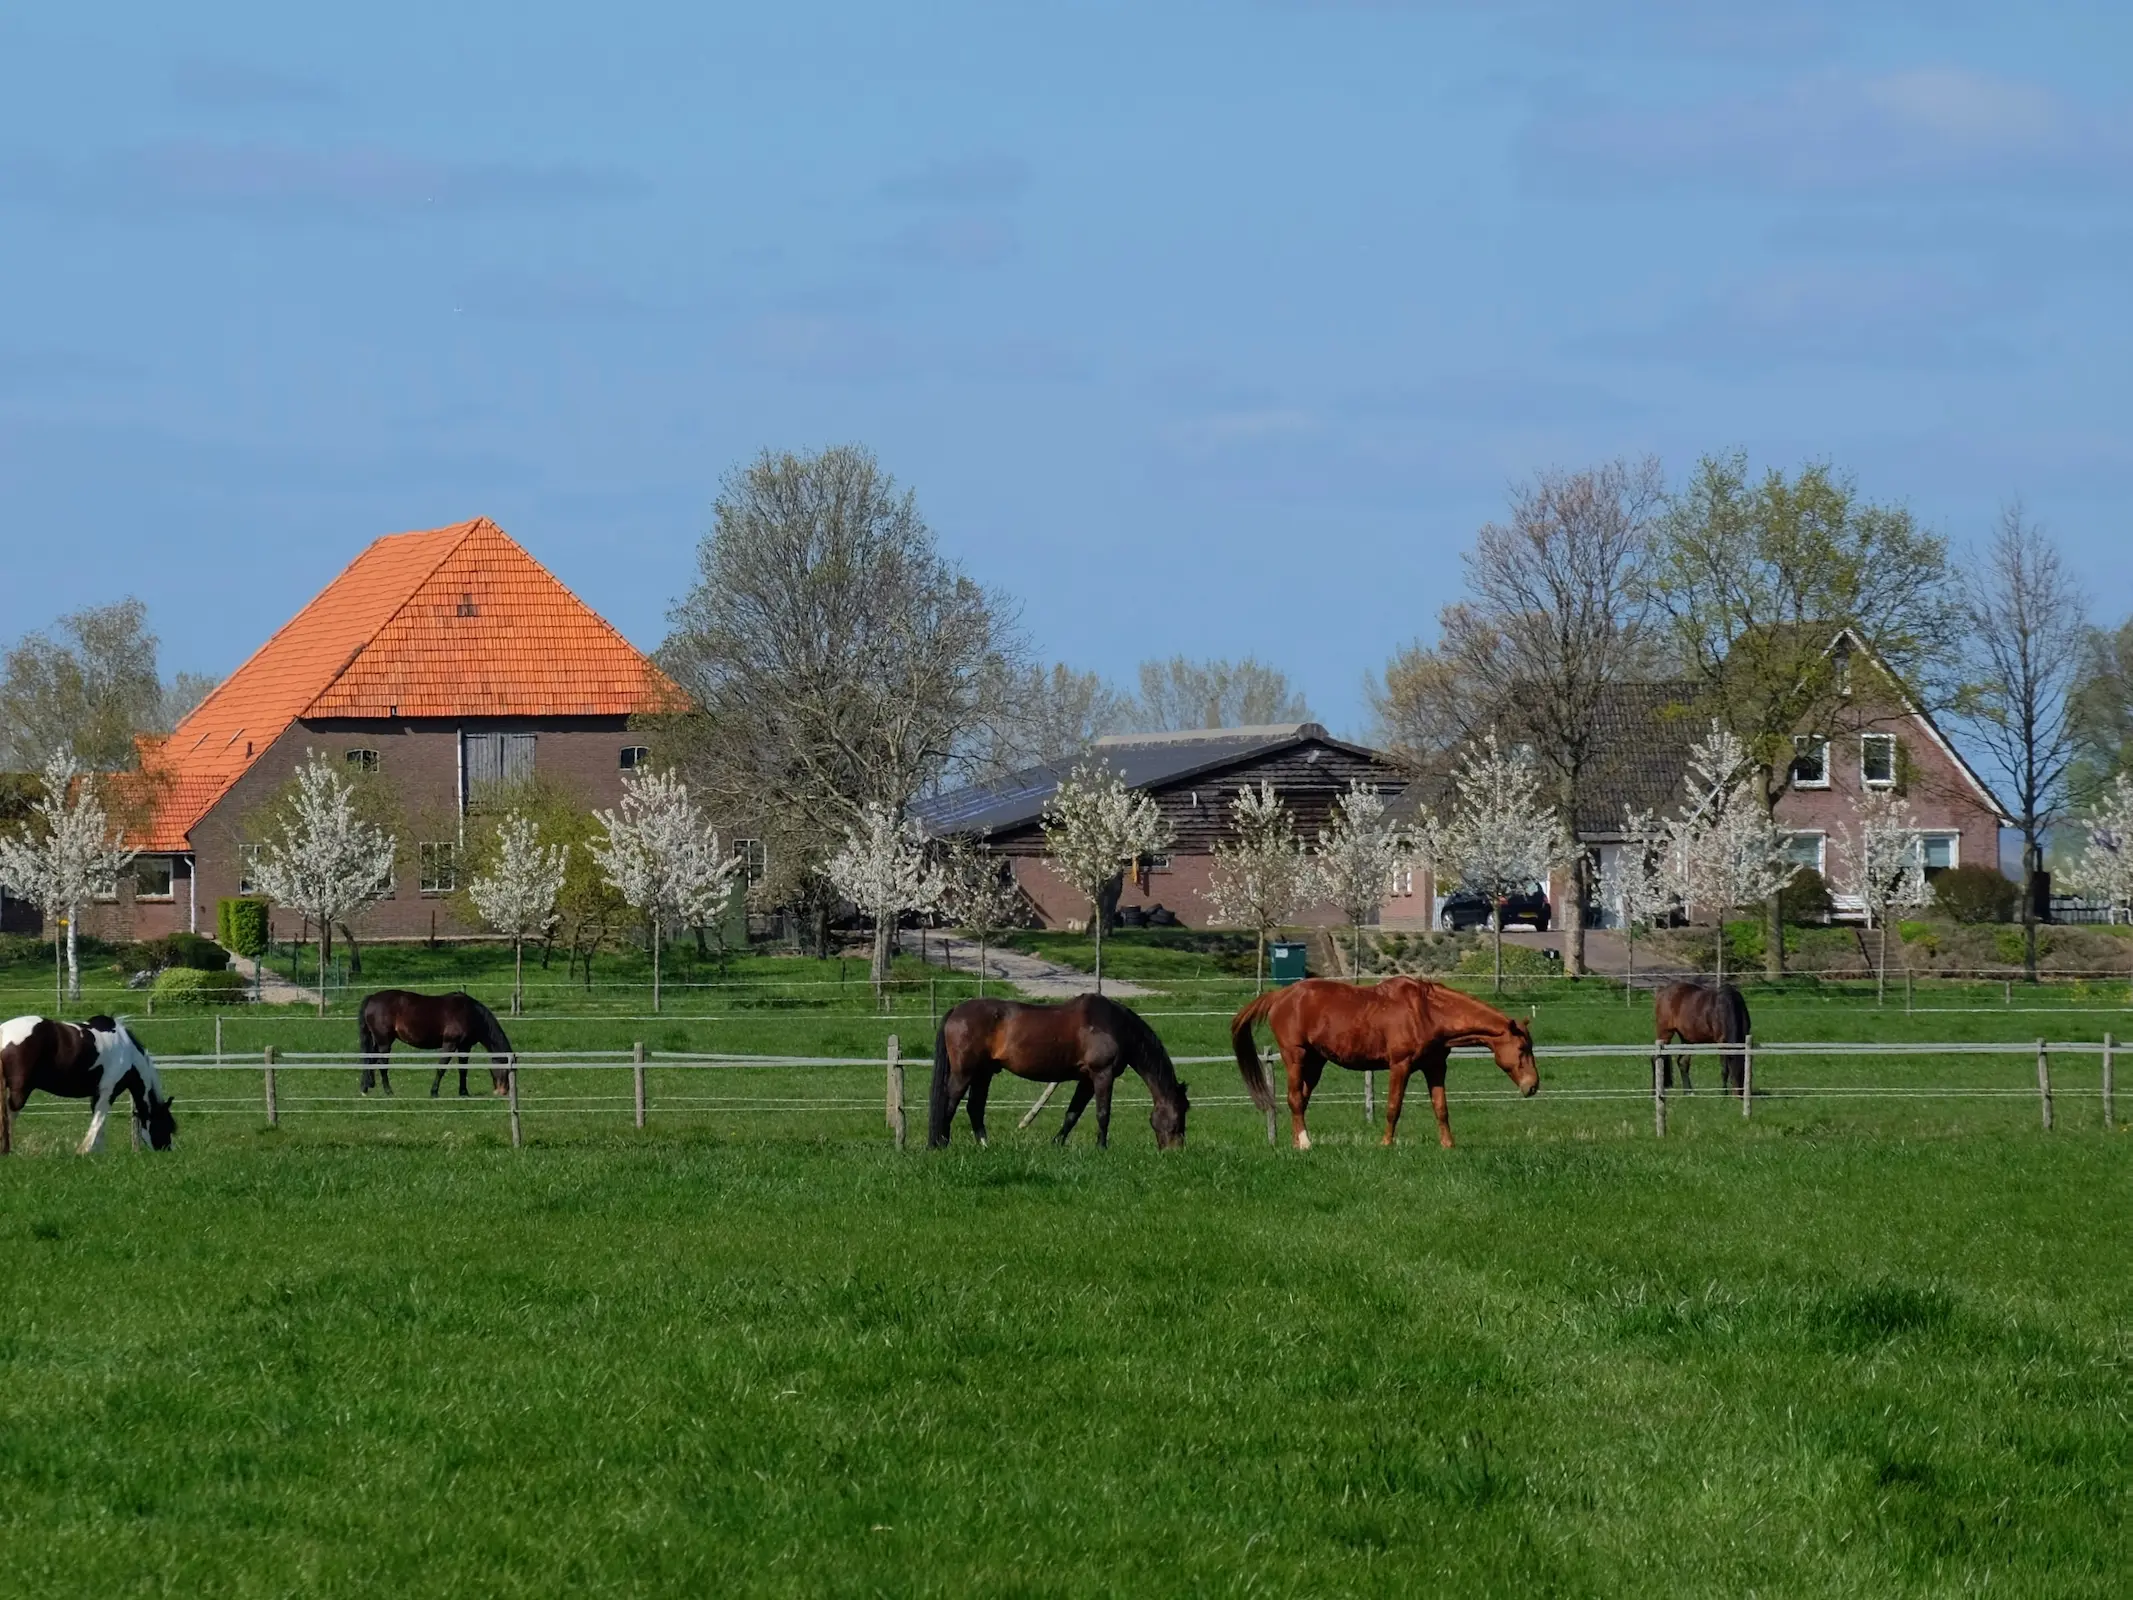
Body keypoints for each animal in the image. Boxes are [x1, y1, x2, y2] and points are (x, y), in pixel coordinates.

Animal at [1, 1019, 177, 1160]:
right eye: (166, 1125)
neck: (128, 1053)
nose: (166, 1151)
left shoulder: (97, 1094)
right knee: (10, 1116)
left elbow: (100, 1123)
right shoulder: (107, 1092)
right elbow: (98, 1121)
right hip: (20, 1092)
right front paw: (84, 1151)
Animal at [360, 989, 518, 1100]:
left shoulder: (465, 1047)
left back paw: (365, 1087)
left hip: (377, 1042)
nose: (503, 1091)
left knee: (369, 1060)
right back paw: (388, 1091)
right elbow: (441, 1067)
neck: (470, 1013)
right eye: (505, 1067)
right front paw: (434, 1091)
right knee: (381, 1064)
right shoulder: (450, 1044)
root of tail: (372, 998)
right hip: (385, 1042)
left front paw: (463, 1092)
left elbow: (463, 1069)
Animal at [1237, 977, 1535, 1152]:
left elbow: (1441, 1108)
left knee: (1300, 1100)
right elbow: (1394, 1108)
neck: (1427, 1012)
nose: (1532, 1086)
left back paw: (1295, 1142)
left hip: (1315, 1062)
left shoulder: (1436, 1067)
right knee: (1295, 1099)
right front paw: (1386, 1143)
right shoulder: (1400, 1066)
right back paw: (1305, 1143)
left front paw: (1448, 1145)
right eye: (1522, 1049)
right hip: (1296, 1057)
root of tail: (1279, 995)